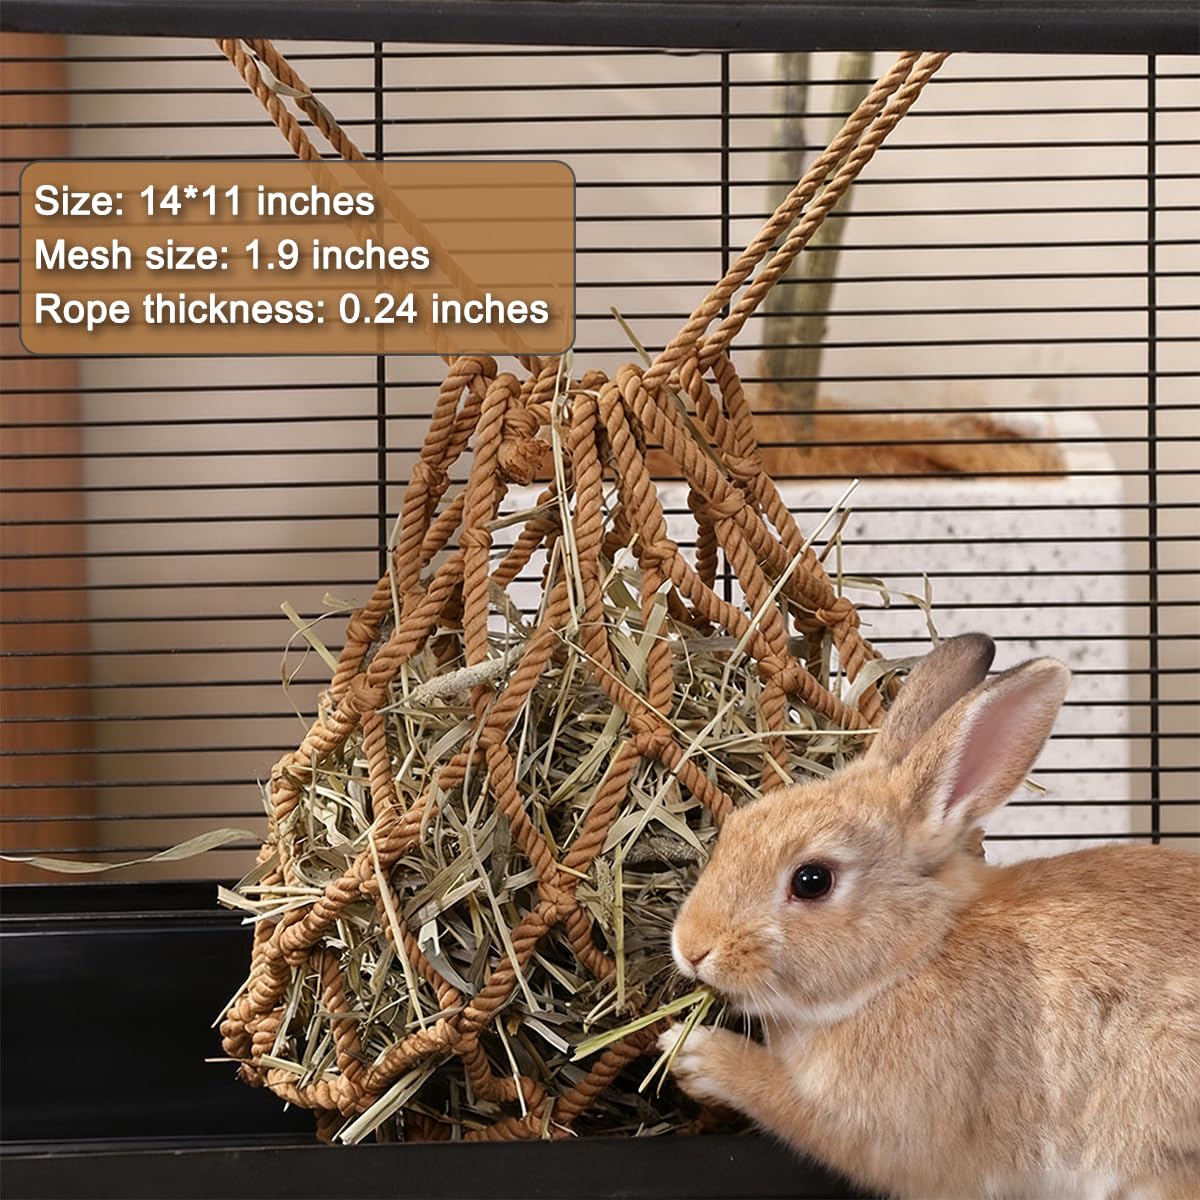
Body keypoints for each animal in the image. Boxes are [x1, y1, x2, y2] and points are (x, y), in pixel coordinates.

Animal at [661, 633, 1200, 1200]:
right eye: (737, 827)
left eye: (812, 880)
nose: (691, 948)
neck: (914, 958)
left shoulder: (872, 1129)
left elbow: (780, 1098)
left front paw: (691, 1051)